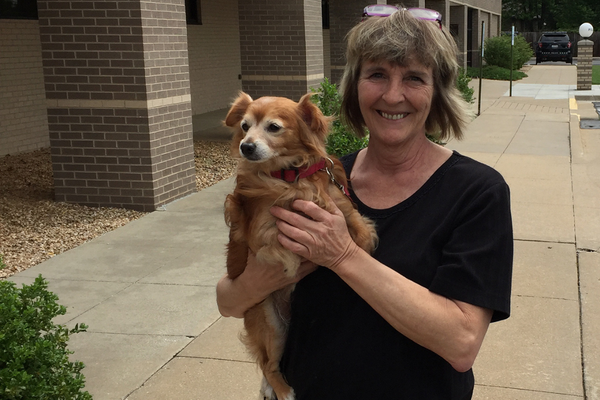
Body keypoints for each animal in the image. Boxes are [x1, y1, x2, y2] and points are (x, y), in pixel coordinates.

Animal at [223, 91, 378, 400]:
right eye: (245, 126)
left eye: (273, 127)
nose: (246, 147)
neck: (289, 173)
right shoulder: (264, 232)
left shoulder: (341, 205)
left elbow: (360, 233)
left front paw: (361, 251)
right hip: (270, 325)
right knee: (269, 365)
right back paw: (283, 391)